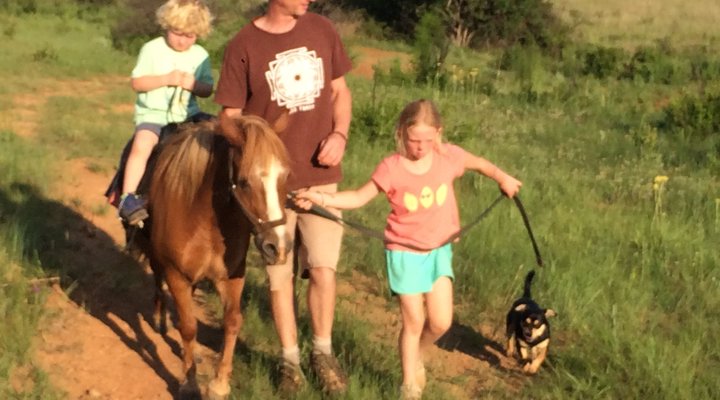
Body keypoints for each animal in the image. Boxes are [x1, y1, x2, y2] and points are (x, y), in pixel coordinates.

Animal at [133, 114, 291, 399]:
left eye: (285, 176)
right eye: (244, 182)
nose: (279, 247)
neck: (206, 221)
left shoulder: (232, 276)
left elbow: (232, 322)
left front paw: (219, 383)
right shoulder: (177, 276)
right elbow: (189, 326)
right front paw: (189, 383)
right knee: (158, 281)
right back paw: (160, 318)